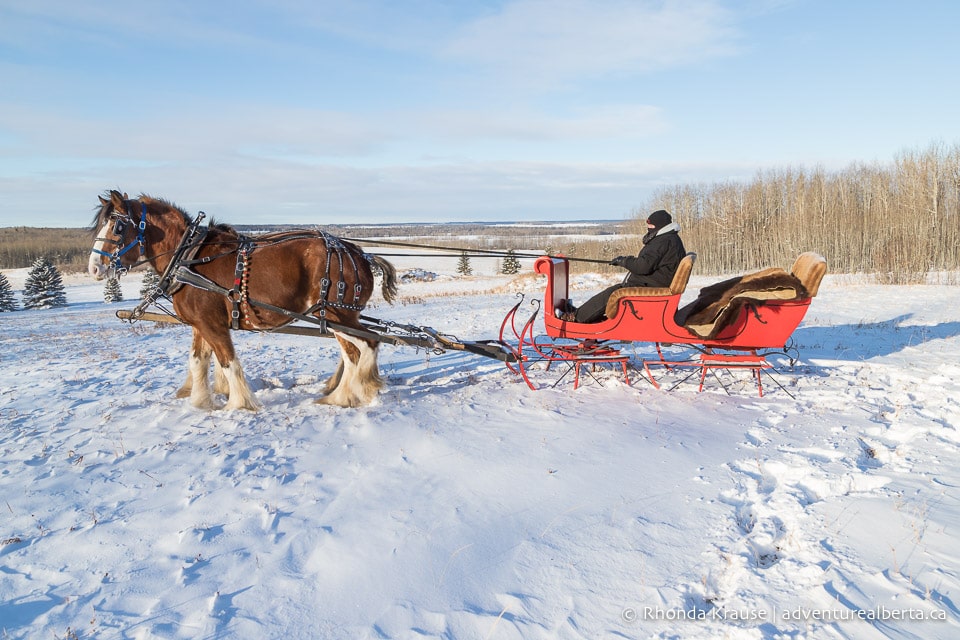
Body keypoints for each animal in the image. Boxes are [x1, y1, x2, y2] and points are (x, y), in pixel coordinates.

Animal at [89, 190, 398, 410]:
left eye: (117, 227)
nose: (94, 267)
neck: (187, 258)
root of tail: (361, 254)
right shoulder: (201, 324)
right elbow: (198, 361)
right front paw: (201, 402)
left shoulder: (213, 325)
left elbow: (228, 362)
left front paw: (239, 405)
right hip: (334, 319)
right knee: (354, 353)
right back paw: (342, 395)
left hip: (338, 315)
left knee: (367, 346)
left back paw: (353, 391)